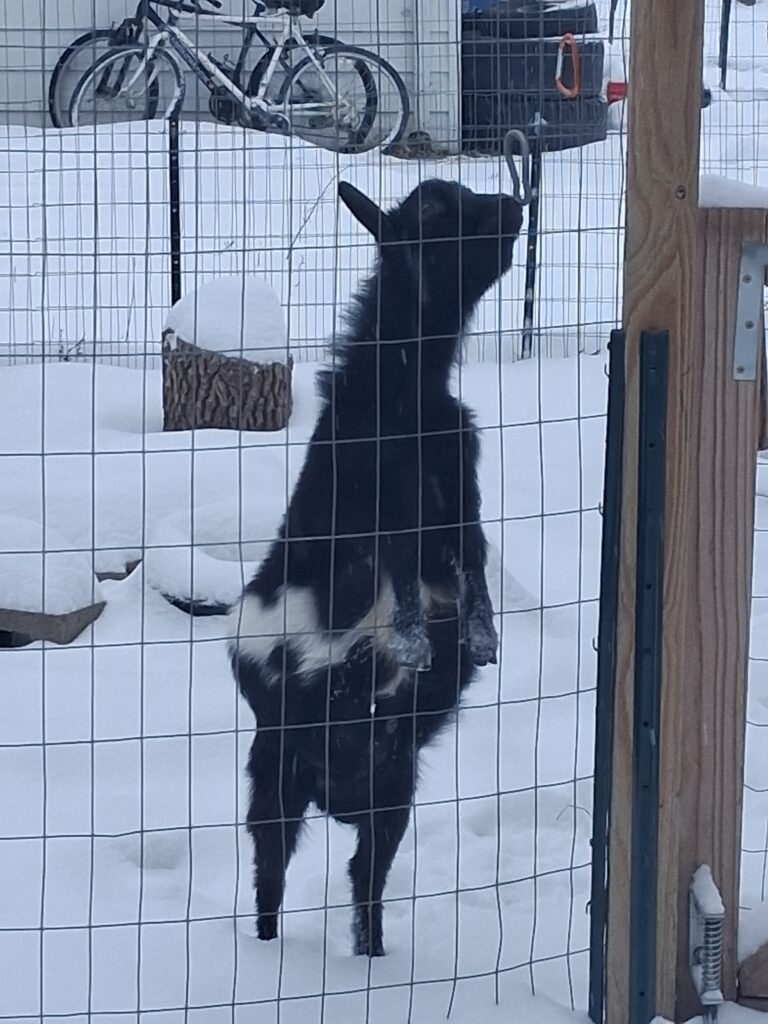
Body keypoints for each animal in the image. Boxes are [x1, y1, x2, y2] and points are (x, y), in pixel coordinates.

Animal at [229, 178, 522, 956]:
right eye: (430, 210)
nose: (515, 206)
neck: (405, 392)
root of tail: (338, 792)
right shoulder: (374, 505)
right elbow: (395, 569)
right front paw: (416, 644)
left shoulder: (461, 493)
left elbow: (473, 565)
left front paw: (481, 641)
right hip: (275, 782)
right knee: (270, 876)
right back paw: (266, 955)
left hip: (392, 793)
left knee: (366, 881)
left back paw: (374, 960)